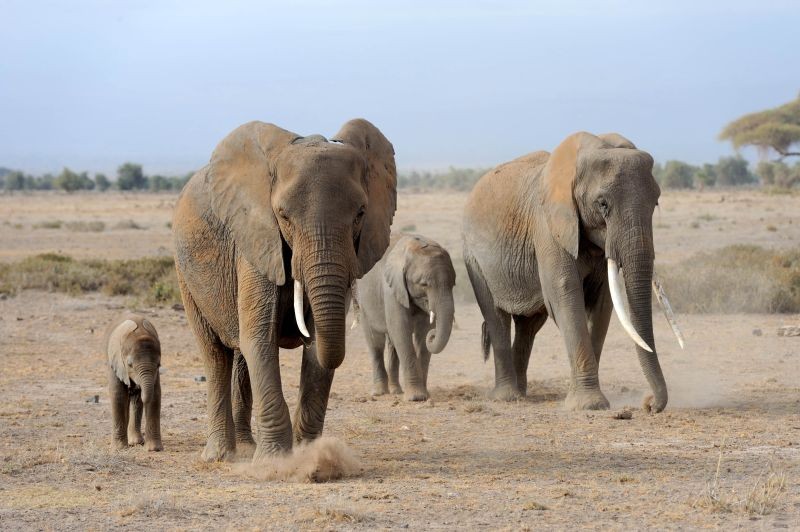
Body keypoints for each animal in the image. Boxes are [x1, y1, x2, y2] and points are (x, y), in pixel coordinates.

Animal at [105, 314, 163, 450]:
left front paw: (154, 449)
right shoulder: (115, 363)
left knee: (136, 402)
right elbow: (118, 395)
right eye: (130, 365)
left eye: (159, 365)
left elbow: (155, 395)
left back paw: (135, 442)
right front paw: (119, 448)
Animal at [176, 118, 400, 460]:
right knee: (215, 356)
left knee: (241, 356)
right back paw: (221, 456)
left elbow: (314, 349)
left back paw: (245, 447)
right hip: (185, 274)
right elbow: (260, 339)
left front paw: (312, 456)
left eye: (360, 213)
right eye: (283, 215)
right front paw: (275, 461)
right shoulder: (256, 240)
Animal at [356, 233, 456, 400]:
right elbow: (401, 330)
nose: (433, 335)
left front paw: (424, 395)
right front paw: (416, 398)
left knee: (392, 343)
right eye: (424, 284)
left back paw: (396, 391)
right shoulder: (392, 289)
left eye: (453, 284)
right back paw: (379, 392)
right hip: (363, 302)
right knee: (376, 342)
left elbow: (422, 335)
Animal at [462, 132, 676, 412]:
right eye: (602, 204)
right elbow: (565, 293)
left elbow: (602, 303)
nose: (649, 404)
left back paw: (521, 392)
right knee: (497, 317)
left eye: (656, 202)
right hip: (473, 258)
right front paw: (589, 405)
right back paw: (508, 397)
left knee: (529, 325)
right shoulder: (547, 226)